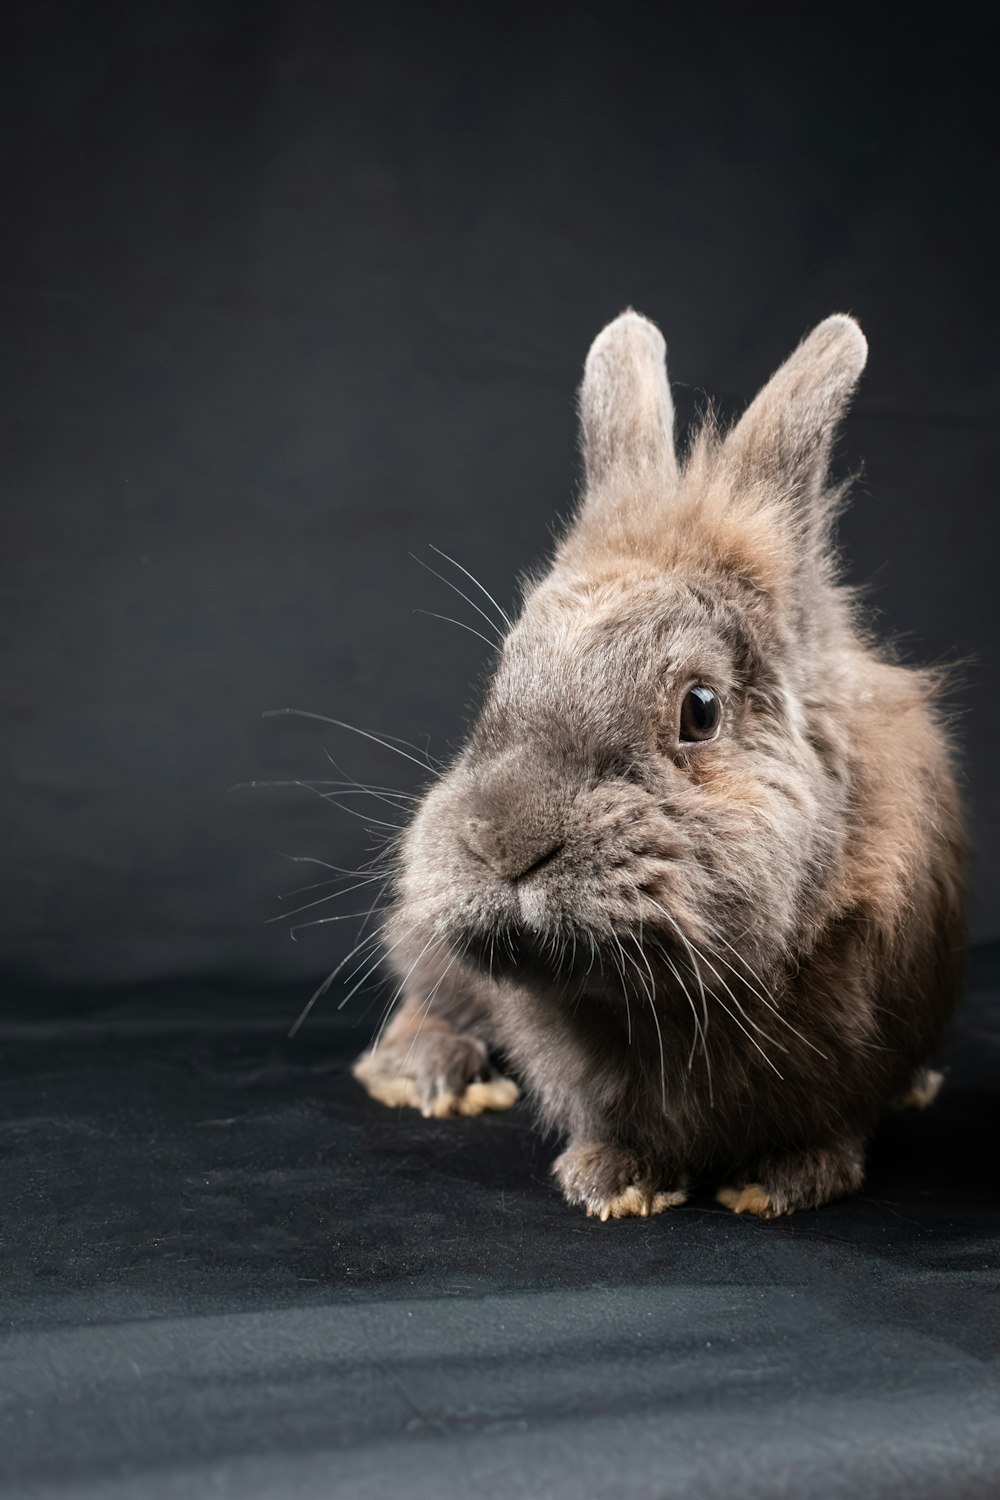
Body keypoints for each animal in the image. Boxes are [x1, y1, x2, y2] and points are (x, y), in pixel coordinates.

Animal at [353, 313, 971, 1218]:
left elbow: (834, 1128)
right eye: (502, 680)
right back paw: (429, 1076)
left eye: (701, 709)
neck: (671, 1005)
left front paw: (783, 1182)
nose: (507, 844)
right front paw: (612, 1181)